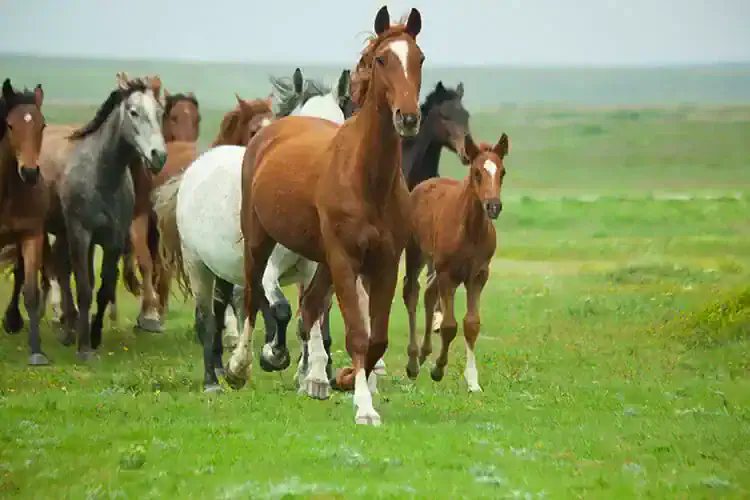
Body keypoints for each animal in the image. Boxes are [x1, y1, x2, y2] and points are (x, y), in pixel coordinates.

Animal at [52, 75, 167, 359]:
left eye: (160, 112)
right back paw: (67, 329)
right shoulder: (81, 235)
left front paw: (94, 337)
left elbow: (104, 288)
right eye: (133, 112)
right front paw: (84, 348)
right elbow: (84, 287)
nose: (159, 156)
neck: (101, 175)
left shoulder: (113, 240)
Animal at [154, 67, 354, 393]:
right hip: (198, 264)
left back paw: (225, 366)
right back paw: (214, 380)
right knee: (207, 318)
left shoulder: (314, 269)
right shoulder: (269, 266)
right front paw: (272, 356)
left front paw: (312, 377)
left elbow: (310, 319)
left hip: (224, 269)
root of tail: (196, 166)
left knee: (227, 307)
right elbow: (281, 309)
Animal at [229, 6, 424, 425]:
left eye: (419, 58)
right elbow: (357, 334)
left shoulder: (384, 262)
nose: (408, 118)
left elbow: (376, 338)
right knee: (251, 296)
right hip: (259, 241)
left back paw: (313, 376)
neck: (366, 178)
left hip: (319, 261)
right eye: (381, 59)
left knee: (309, 307)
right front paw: (364, 408)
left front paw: (345, 381)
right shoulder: (345, 259)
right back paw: (238, 368)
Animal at [402, 133, 509, 392]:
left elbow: (471, 324)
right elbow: (449, 326)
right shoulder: (448, 275)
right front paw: (438, 369)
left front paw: (473, 381)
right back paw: (413, 362)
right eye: (477, 173)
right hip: (416, 253)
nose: (494, 206)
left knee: (428, 294)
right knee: (411, 293)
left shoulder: (478, 275)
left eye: (502, 172)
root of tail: (423, 184)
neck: (470, 229)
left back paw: (424, 353)